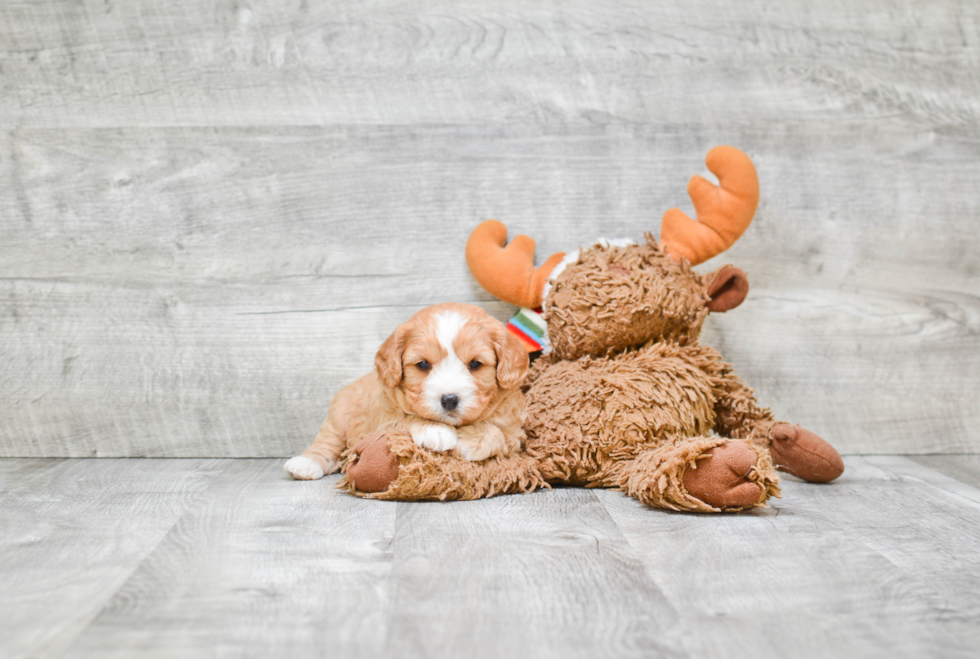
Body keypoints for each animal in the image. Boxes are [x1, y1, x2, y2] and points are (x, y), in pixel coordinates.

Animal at [284, 302, 528, 482]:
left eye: (475, 364)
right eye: (423, 364)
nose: (449, 400)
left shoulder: (514, 430)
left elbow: (497, 433)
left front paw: (468, 441)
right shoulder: (382, 419)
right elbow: (403, 418)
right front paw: (435, 430)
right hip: (338, 417)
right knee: (327, 443)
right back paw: (305, 465)